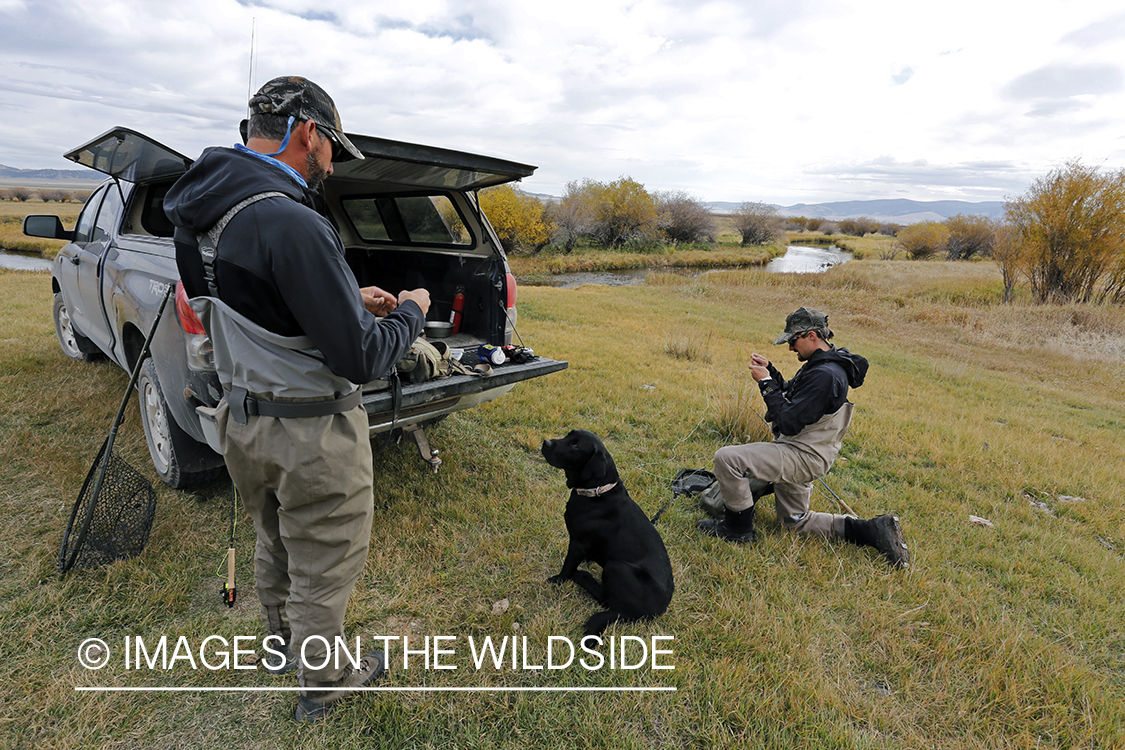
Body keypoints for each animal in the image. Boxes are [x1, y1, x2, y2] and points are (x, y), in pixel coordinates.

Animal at [540, 431, 670, 638]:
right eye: (568, 435)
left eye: (576, 446)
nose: (546, 442)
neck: (596, 492)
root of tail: (653, 613)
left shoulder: (578, 544)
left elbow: (567, 565)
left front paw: (558, 580)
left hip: (616, 567)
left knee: (606, 600)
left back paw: (583, 577)